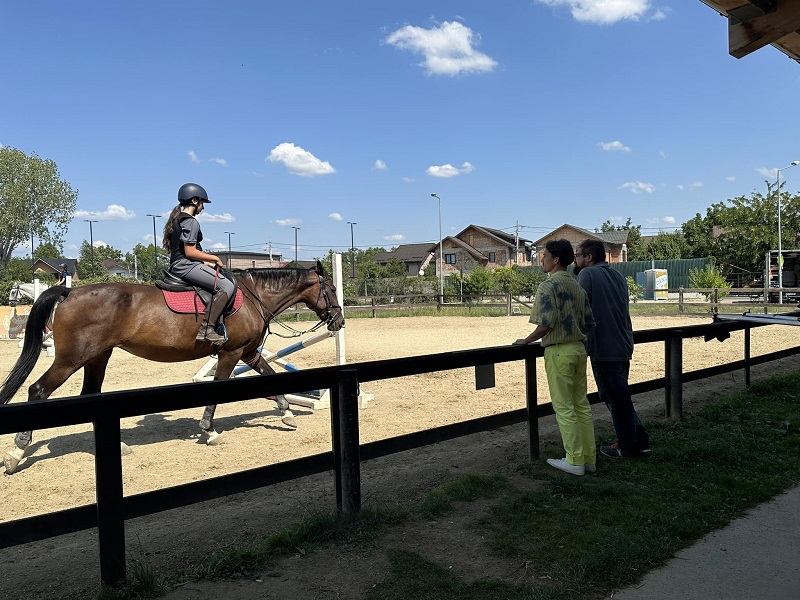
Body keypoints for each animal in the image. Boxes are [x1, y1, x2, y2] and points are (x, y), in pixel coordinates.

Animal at [0, 262, 340, 474]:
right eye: (332, 290)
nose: (339, 320)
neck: (252, 297)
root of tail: (71, 291)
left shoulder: (248, 353)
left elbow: (271, 376)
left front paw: (287, 413)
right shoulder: (230, 354)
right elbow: (218, 392)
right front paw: (210, 432)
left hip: (97, 357)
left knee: (89, 396)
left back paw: (115, 446)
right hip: (71, 359)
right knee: (38, 390)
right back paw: (17, 453)